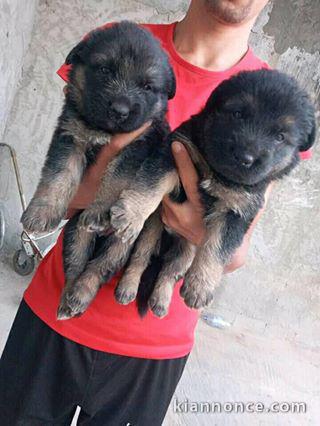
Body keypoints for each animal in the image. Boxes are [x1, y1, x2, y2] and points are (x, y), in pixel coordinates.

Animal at [19, 21, 175, 318]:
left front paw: (100, 211)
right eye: (104, 70)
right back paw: (68, 301)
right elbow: (59, 175)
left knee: (100, 267)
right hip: (75, 233)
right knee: (75, 266)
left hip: (124, 242)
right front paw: (41, 212)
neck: (105, 131)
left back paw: (81, 294)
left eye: (147, 86)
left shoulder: (137, 147)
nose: (121, 110)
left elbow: (115, 178)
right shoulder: (71, 136)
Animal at [111, 70, 316, 316]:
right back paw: (128, 287)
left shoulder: (238, 210)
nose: (245, 158)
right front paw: (131, 214)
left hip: (186, 251)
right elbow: (150, 186)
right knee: (140, 257)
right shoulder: (172, 153)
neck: (217, 171)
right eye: (238, 114)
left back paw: (161, 300)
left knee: (170, 272)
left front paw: (200, 286)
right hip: (152, 229)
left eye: (280, 137)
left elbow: (218, 246)